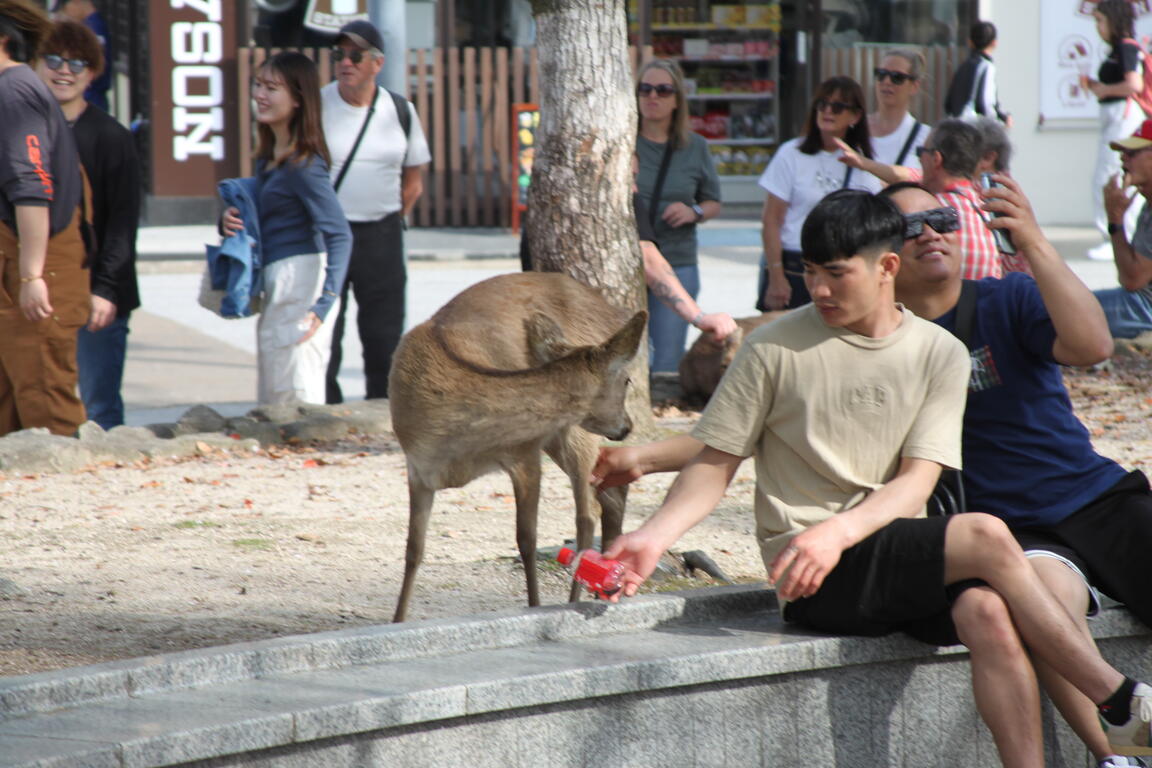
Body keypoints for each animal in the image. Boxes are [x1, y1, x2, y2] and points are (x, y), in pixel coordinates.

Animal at [389, 272, 649, 621]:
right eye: (626, 380)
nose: (627, 426)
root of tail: (608, 307)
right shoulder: (418, 467)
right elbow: (413, 549)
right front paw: (397, 620)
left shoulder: (525, 451)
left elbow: (526, 539)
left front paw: (535, 607)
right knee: (611, 495)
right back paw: (604, 585)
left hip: (572, 432)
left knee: (587, 514)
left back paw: (583, 594)